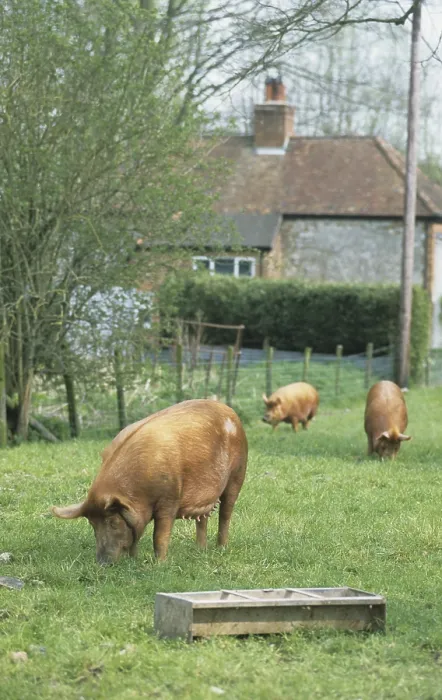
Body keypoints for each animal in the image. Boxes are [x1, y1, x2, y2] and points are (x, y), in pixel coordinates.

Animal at [52, 399, 248, 565]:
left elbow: (159, 535)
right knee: (203, 519)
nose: (102, 563)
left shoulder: (170, 499)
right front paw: (134, 560)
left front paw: (159, 564)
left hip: (238, 474)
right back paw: (200, 550)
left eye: (113, 522)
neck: (139, 490)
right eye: (92, 523)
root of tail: (230, 411)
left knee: (225, 514)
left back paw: (221, 548)